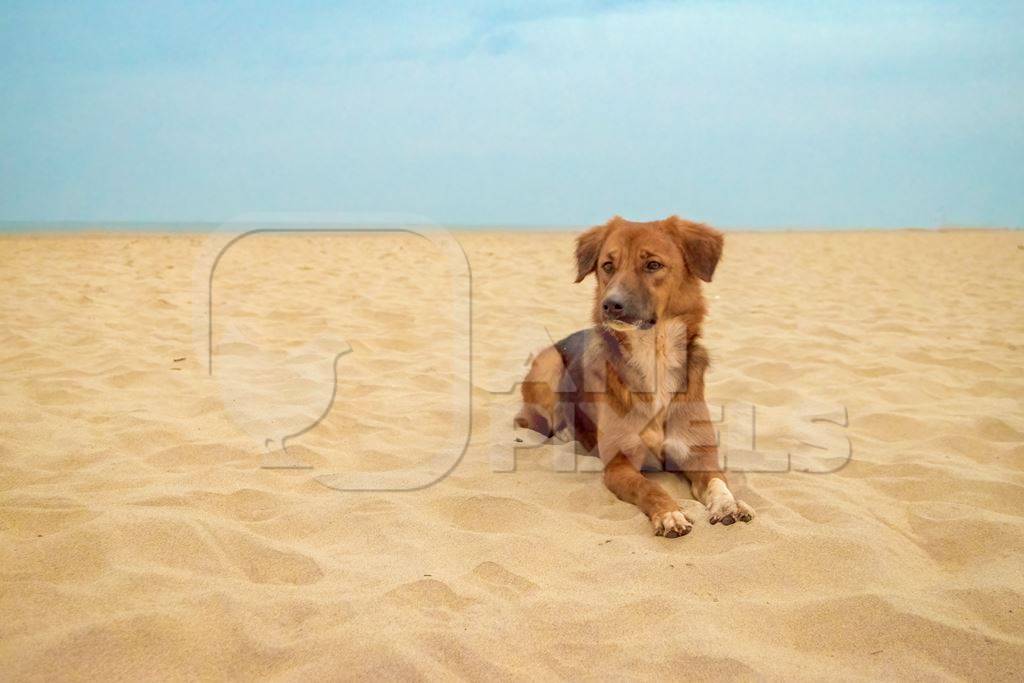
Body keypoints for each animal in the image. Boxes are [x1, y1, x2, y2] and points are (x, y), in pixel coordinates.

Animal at [520, 216, 753, 536]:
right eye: (607, 266)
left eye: (653, 265)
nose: (610, 305)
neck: (655, 354)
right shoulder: (620, 465)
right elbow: (649, 487)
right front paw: (670, 513)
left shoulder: (699, 457)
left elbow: (719, 482)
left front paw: (729, 504)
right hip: (550, 363)